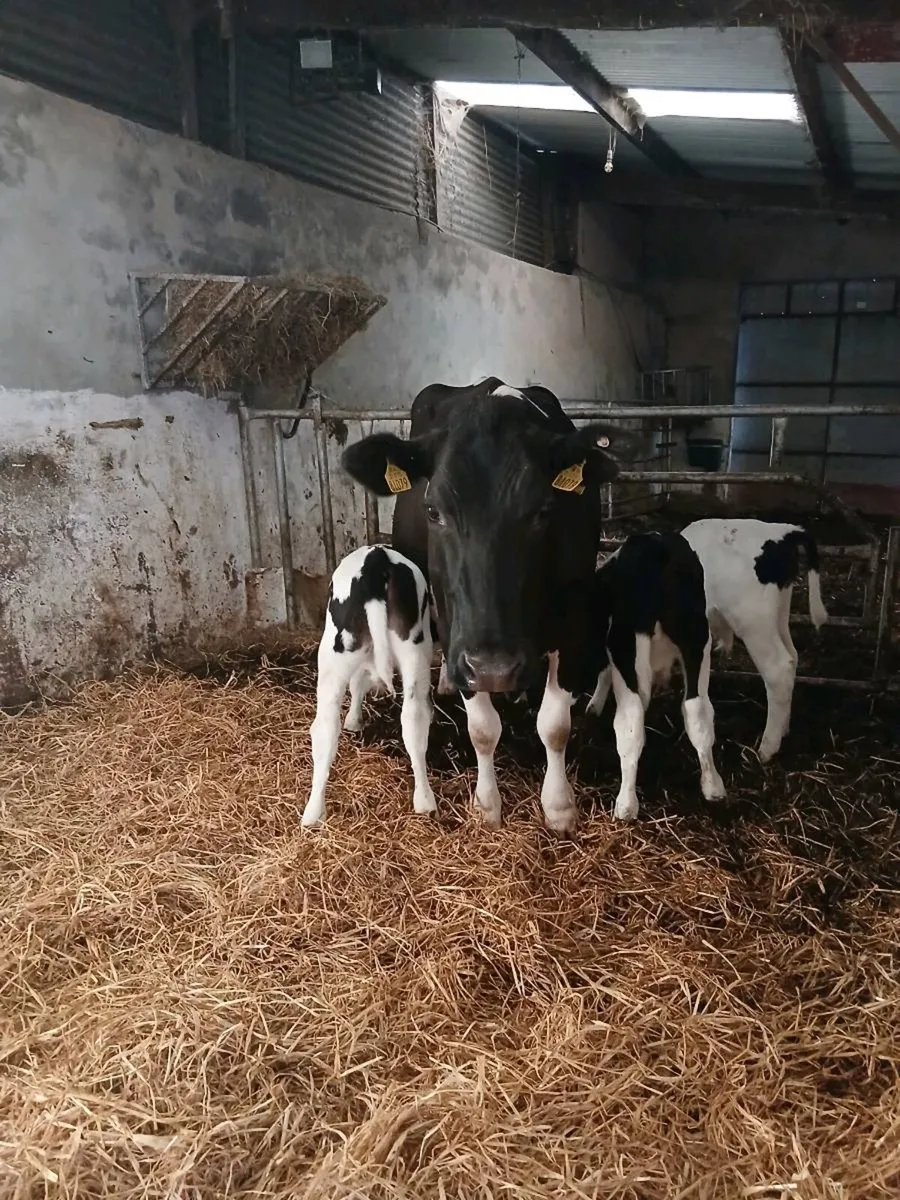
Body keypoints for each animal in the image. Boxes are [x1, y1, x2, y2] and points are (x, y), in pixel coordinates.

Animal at [301, 544, 436, 828]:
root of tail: (376, 558)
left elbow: (357, 683)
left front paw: (353, 720)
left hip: (333, 653)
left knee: (325, 727)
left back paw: (313, 812)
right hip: (414, 650)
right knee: (414, 719)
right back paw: (424, 801)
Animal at [341, 377, 639, 833]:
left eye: (544, 510)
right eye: (433, 510)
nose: (495, 669)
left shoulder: (572, 619)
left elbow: (555, 725)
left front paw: (558, 806)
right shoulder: (458, 632)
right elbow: (482, 728)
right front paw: (487, 805)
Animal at [584, 532, 727, 820]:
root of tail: (656, 548)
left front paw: (594, 705)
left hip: (626, 643)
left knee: (630, 721)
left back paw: (626, 805)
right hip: (697, 638)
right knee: (698, 710)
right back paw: (713, 786)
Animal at [679, 518, 828, 762]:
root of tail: (781, 532)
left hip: (752, 620)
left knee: (778, 668)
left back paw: (767, 748)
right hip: (777, 615)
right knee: (792, 657)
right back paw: (783, 728)